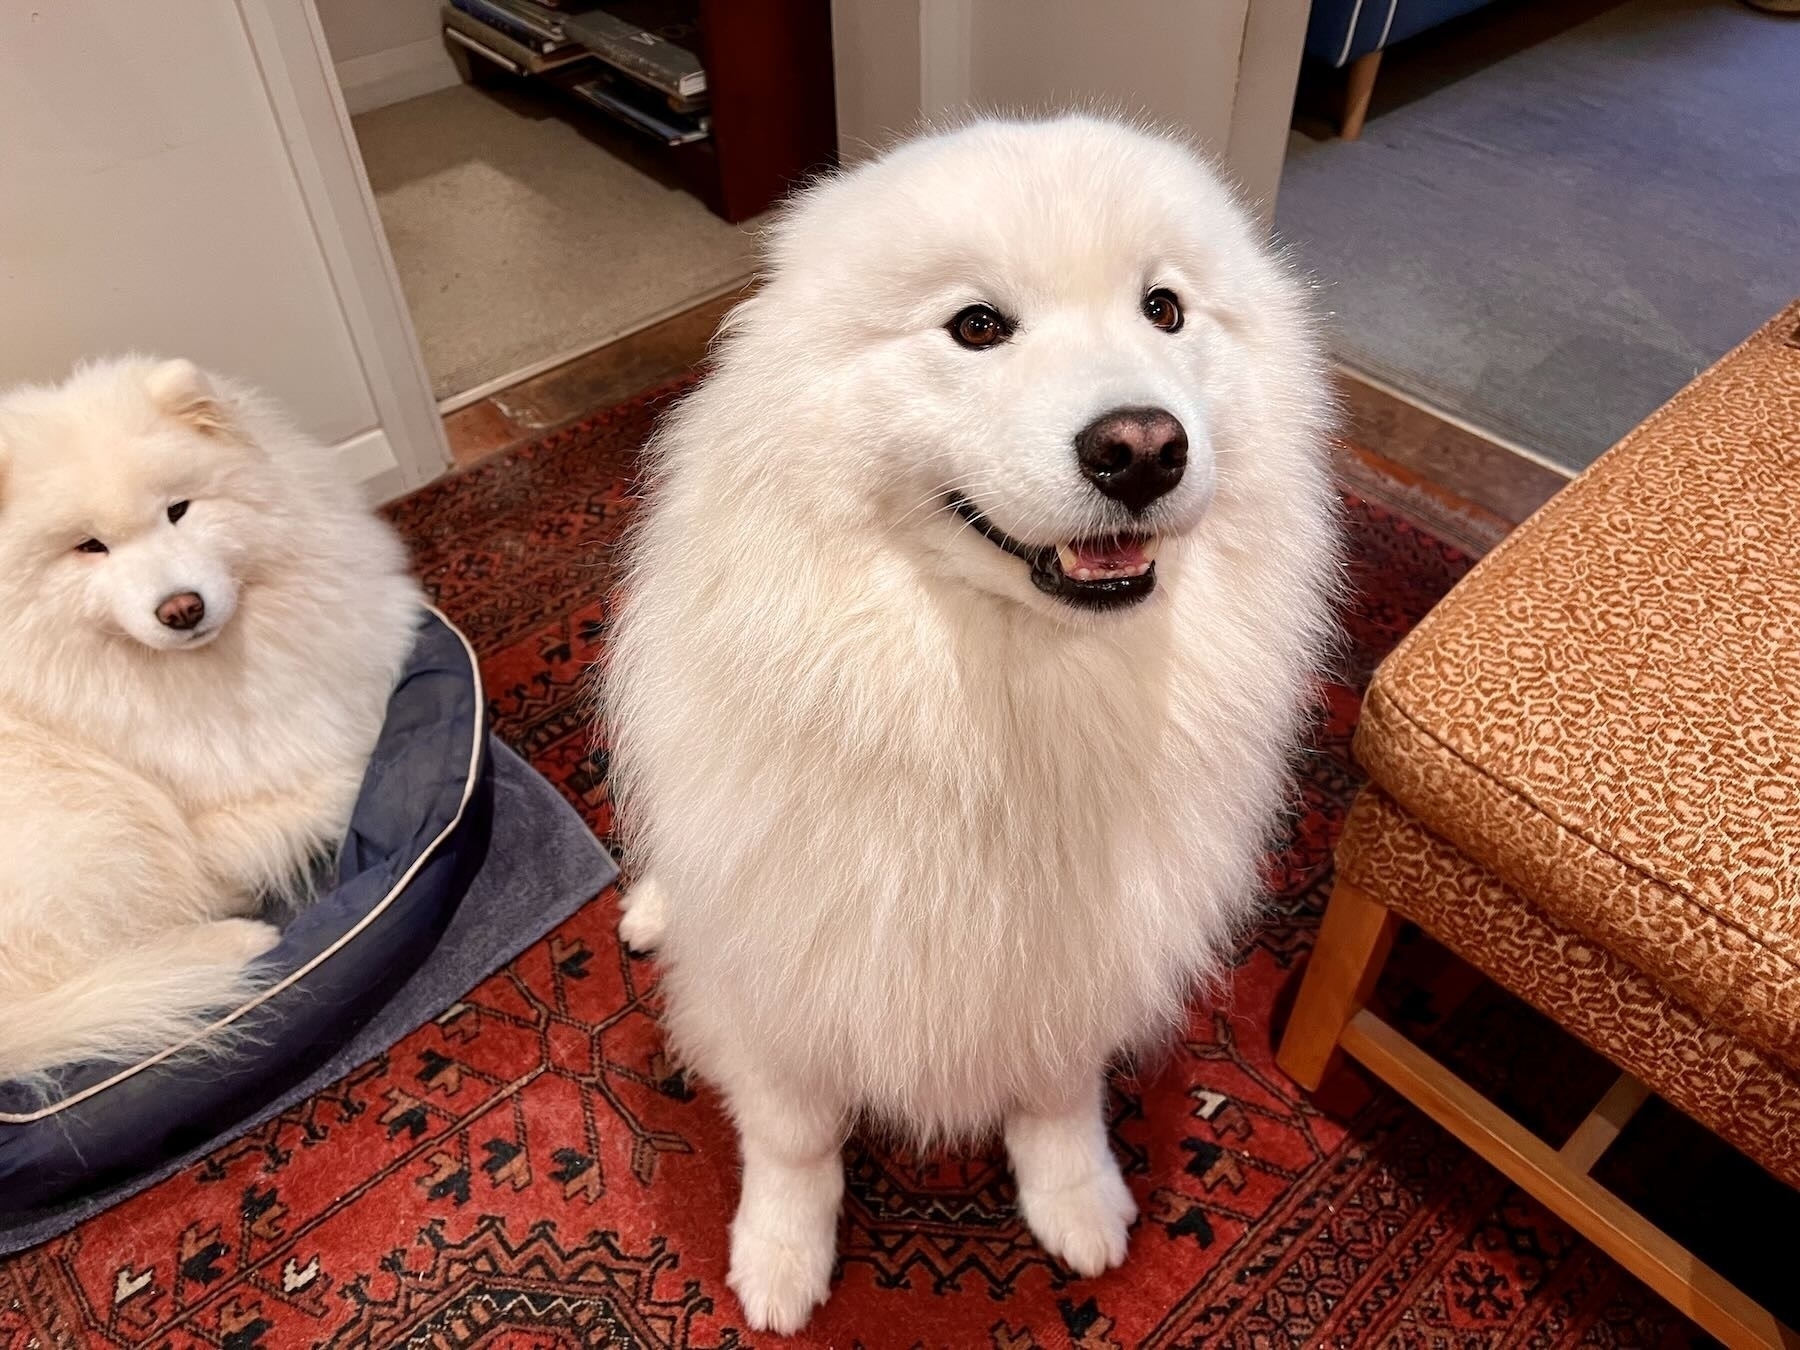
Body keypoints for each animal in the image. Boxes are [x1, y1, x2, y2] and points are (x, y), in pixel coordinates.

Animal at [0, 354, 419, 1087]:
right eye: (89, 547)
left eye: (178, 510)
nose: (181, 608)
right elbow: (346, 766)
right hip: (90, 823)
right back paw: (234, 942)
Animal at [604, 113, 1339, 1332]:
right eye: (978, 326)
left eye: (1165, 309)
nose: (1143, 447)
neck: (1003, 697)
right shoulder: (781, 978)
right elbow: (795, 1138)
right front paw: (781, 1262)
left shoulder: (1068, 971)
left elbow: (1056, 1099)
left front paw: (1080, 1205)